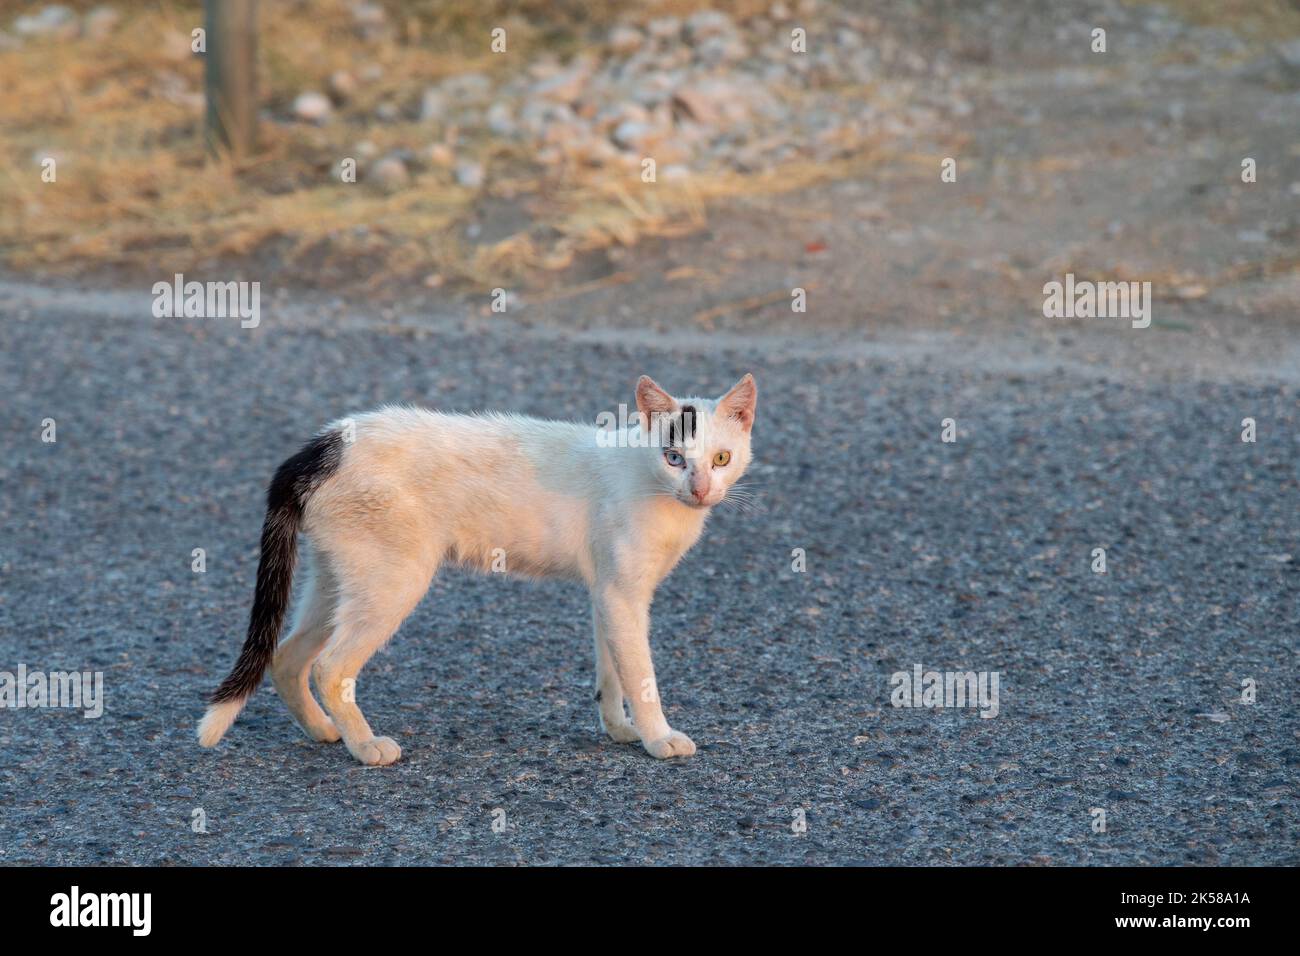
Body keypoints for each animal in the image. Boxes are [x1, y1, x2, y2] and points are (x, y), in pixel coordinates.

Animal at [197, 377, 759, 764]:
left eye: (721, 458)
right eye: (673, 457)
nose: (701, 489)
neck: (649, 481)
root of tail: (323, 445)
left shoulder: (608, 593)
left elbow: (613, 671)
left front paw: (621, 729)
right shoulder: (622, 595)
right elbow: (641, 675)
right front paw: (658, 737)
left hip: (338, 578)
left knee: (287, 656)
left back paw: (322, 731)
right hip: (393, 580)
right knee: (329, 667)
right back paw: (365, 746)